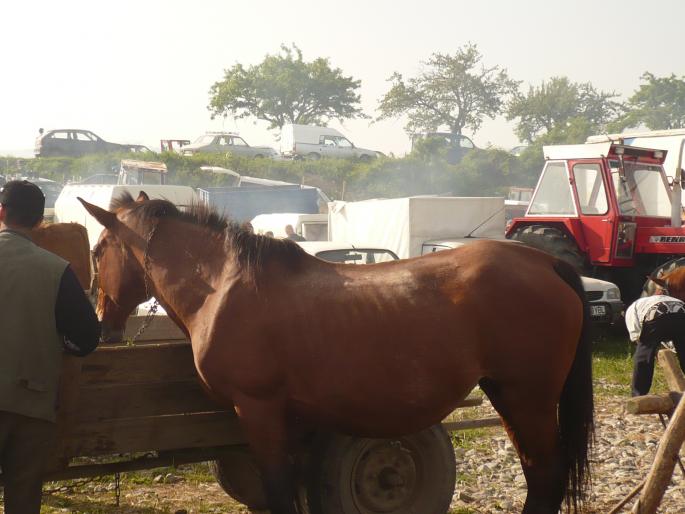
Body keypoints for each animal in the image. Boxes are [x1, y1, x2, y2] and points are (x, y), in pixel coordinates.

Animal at [79, 192, 592, 512]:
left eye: (98, 249)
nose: (102, 324)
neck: (222, 286)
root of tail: (547, 263)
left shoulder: (259, 409)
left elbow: (279, 492)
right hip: (508, 395)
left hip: (527, 398)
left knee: (545, 474)